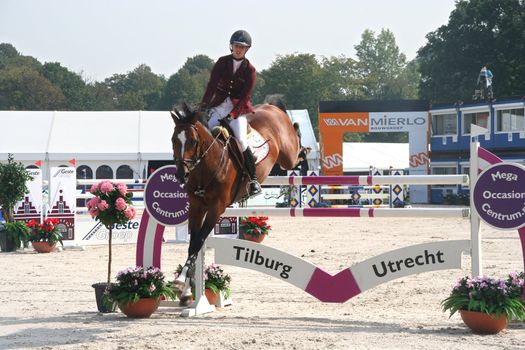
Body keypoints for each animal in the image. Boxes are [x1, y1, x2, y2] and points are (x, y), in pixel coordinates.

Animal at [170, 98, 300, 304]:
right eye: (174, 140)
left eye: (193, 141)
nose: (182, 174)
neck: (206, 167)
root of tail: (270, 107)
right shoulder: (197, 208)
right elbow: (193, 245)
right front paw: (186, 291)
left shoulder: (216, 209)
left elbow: (198, 242)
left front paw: (181, 281)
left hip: (288, 156)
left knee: (296, 151)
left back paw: (302, 138)